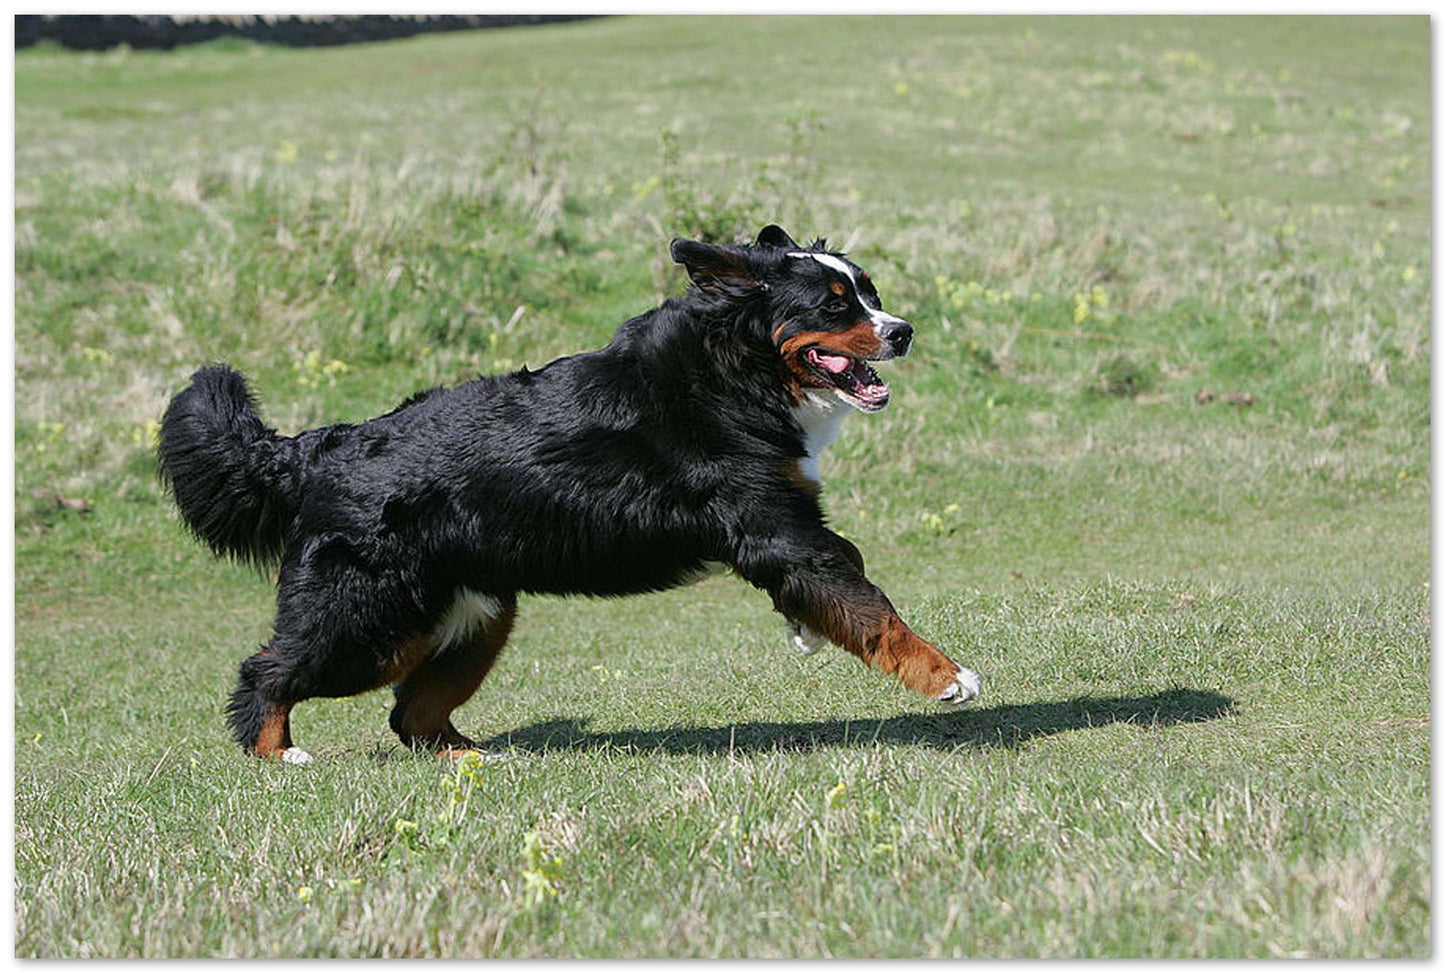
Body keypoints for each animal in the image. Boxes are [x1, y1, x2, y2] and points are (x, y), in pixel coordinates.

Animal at [158, 224, 982, 763]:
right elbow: (870, 606)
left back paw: (474, 759)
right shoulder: (771, 524)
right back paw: (277, 755)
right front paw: (946, 676)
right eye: (835, 305)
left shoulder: (785, 523)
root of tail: (319, 447)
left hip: (470, 618)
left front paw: (805, 628)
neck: (733, 369)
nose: (903, 330)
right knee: (267, 670)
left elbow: (845, 574)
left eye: (870, 293)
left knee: (412, 711)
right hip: (367, 618)